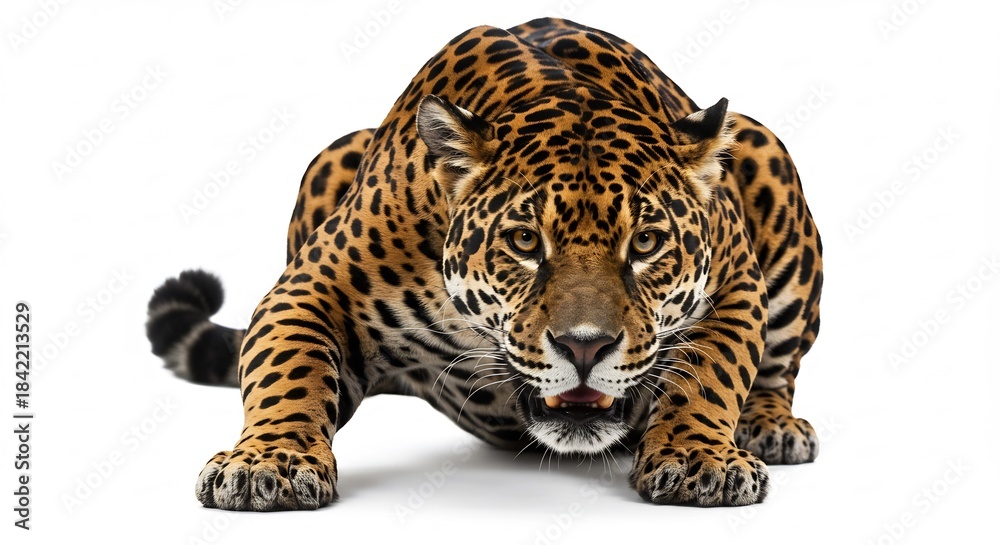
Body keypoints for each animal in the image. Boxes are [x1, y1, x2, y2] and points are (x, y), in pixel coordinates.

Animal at [146, 17, 822, 509]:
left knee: (778, 368)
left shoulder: (735, 279)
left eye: (647, 244)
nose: (584, 347)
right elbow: (287, 368)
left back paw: (772, 428)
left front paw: (696, 459)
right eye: (524, 241)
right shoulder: (312, 286)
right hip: (330, 156)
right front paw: (270, 462)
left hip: (767, 152)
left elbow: (710, 372)